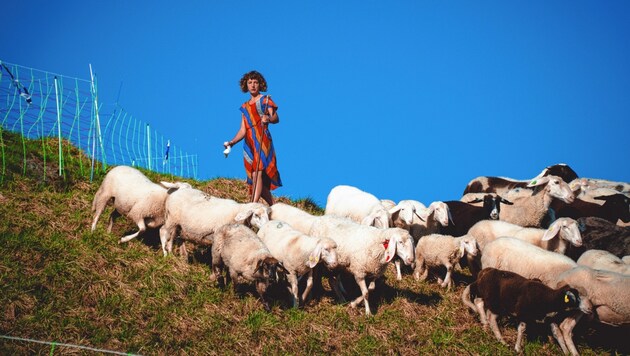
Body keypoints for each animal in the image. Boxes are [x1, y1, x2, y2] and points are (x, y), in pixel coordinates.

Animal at [462, 268, 592, 354]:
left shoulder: (548, 318)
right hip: (494, 302)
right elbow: (522, 328)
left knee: (482, 305)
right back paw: (499, 338)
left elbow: (557, 332)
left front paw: (565, 351)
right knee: (488, 313)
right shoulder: (522, 313)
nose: (590, 309)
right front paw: (517, 348)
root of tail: (484, 272)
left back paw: (489, 328)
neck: (547, 298)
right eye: (577, 298)